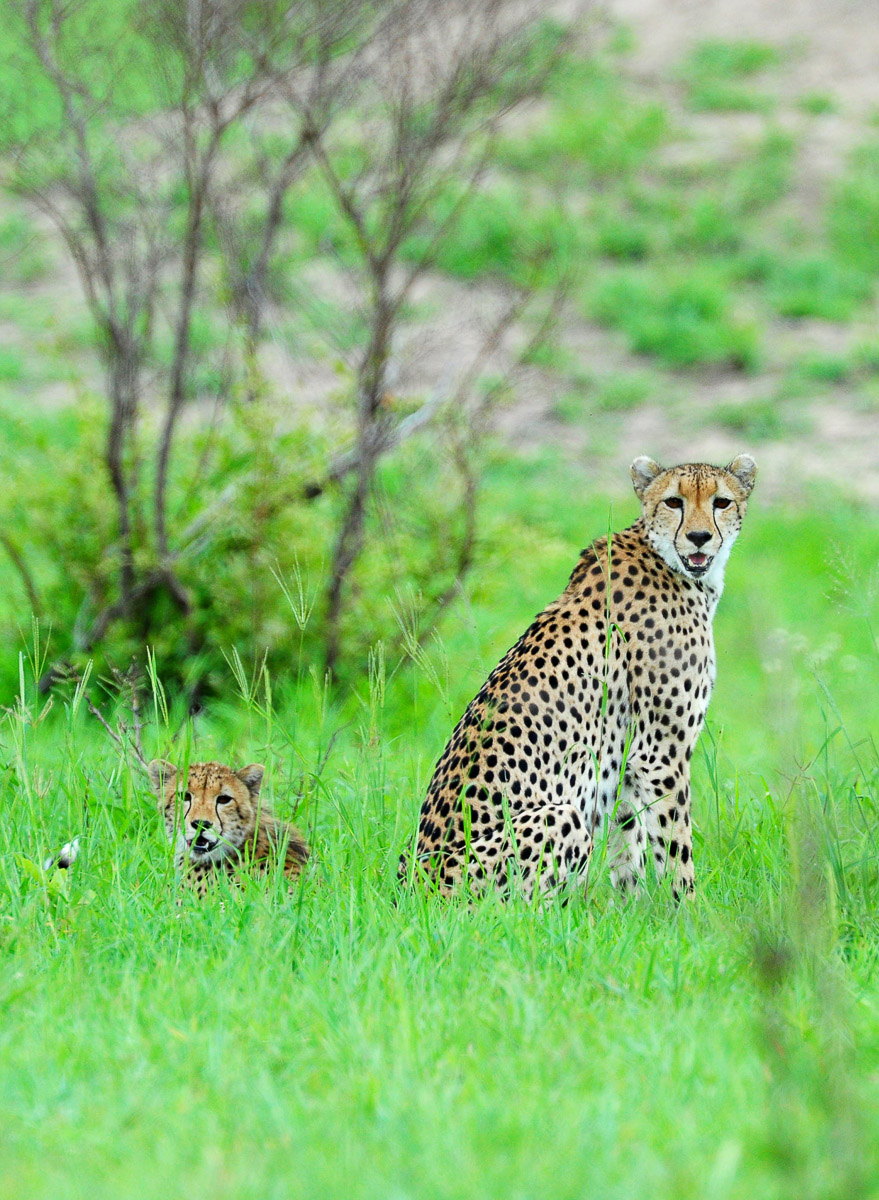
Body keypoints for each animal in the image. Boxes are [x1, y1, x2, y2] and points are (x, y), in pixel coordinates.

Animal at [403, 453, 757, 902]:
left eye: (722, 502)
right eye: (674, 502)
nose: (698, 537)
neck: (668, 561)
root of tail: (410, 891)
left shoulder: (626, 759)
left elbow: (629, 848)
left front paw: (633, 913)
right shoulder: (659, 752)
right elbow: (675, 849)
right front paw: (689, 911)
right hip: (559, 816)